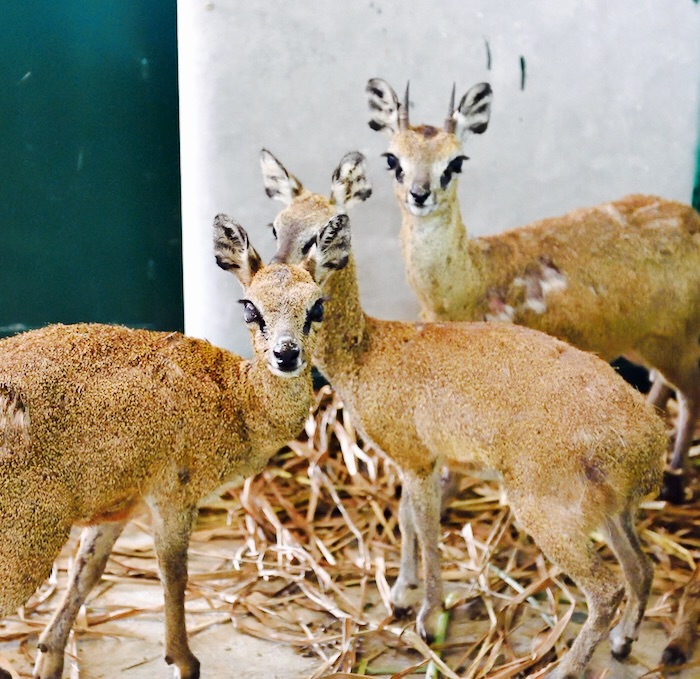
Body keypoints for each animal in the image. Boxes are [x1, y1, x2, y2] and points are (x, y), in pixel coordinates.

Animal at [0, 218, 338, 679]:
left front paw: (49, 658)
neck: (237, 400)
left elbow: (86, 572)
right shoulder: (174, 495)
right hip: (26, 537)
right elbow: (174, 573)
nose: (286, 354)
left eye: (317, 306)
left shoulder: (119, 504)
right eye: (249, 307)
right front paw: (184, 660)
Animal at [258, 150, 668, 679]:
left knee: (606, 588)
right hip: (611, 509)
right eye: (275, 226)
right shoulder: (415, 457)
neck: (368, 353)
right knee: (641, 567)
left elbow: (428, 529)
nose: (277, 273)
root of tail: (650, 446)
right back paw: (622, 642)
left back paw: (566, 667)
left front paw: (427, 616)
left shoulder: (416, 457)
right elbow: (406, 518)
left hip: (550, 509)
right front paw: (400, 593)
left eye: (325, 231)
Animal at [366, 78, 700, 504]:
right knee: (663, 384)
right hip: (644, 339)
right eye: (392, 159)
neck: (470, 285)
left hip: (677, 337)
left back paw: (675, 478)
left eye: (456, 162)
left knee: (691, 394)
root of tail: (693, 220)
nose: (419, 193)